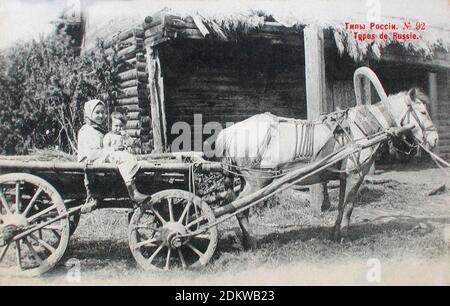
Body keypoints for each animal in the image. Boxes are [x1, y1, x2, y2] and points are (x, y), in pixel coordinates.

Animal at [213, 67, 438, 249]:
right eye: (423, 112)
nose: (435, 139)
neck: (360, 128)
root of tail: (229, 132)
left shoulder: (344, 176)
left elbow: (341, 205)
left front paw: (335, 233)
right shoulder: (355, 175)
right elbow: (349, 206)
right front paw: (345, 237)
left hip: (248, 181)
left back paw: (245, 241)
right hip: (257, 180)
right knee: (239, 209)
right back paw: (251, 241)